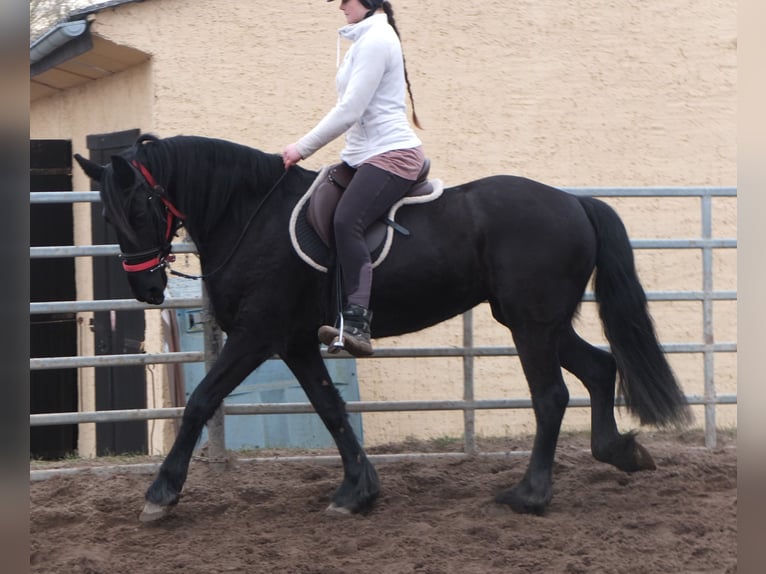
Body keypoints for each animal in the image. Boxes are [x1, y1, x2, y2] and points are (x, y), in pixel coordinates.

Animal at [76, 137, 688, 524]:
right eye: (107, 217)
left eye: (138, 207)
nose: (146, 289)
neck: (251, 216)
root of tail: (575, 202)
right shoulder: (296, 342)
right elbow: (330, 408)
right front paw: (357, 491)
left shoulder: (258, 335)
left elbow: (201, 401)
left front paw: (161, 494)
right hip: (539, 321)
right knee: (599, 368)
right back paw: (619, 452)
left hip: (532, 325)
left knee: (552, 395)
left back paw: (531, 495)